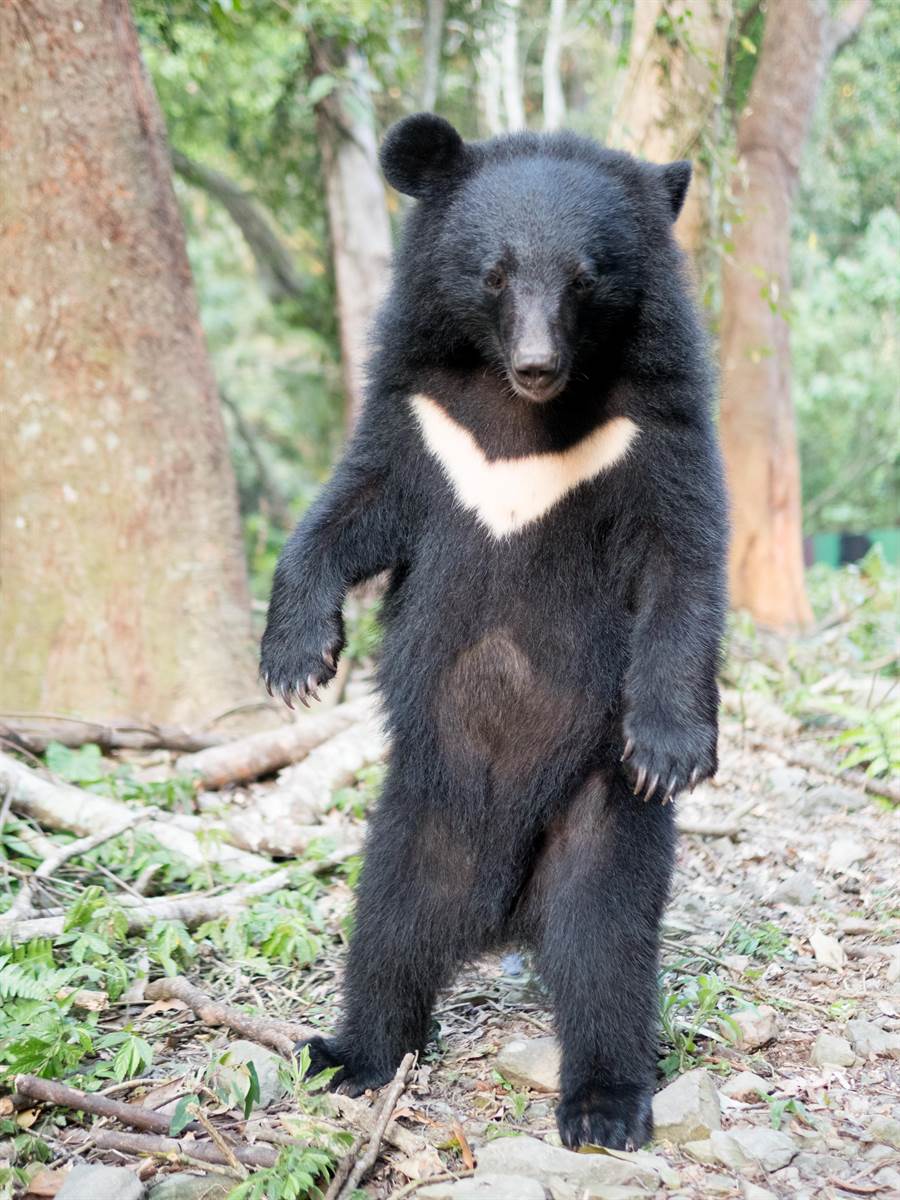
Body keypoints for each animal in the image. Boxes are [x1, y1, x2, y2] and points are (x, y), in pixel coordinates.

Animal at [259, 114, 724, 1152]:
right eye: (496, 274)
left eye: (588, 279)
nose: (538, 364)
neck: (522, 416)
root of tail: (504, 912)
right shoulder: (424, 420)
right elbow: (350, 509)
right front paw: (296, 663)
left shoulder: (653, 426)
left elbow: (682, 563)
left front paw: (673, 750)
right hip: (416, 818)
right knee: (387, 933)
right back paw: (349, 1054)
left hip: (595, 817)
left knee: (606, 951)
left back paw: (604, 1105)